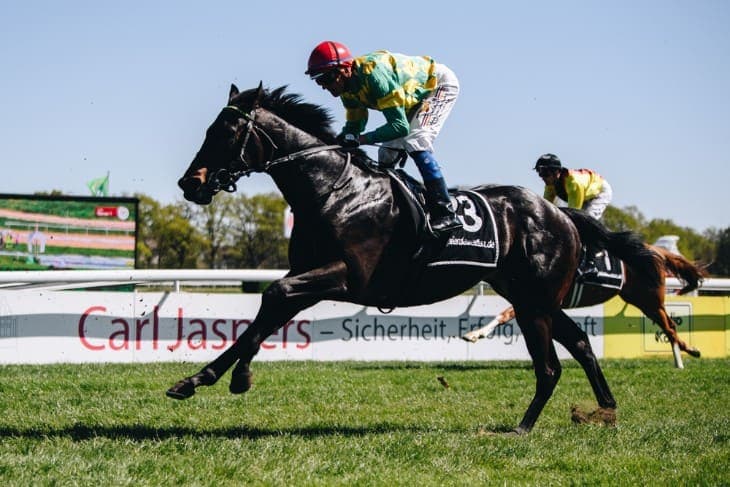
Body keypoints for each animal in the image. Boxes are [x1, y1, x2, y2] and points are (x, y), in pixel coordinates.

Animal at [169, 83, 662, 434]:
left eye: (225, 133)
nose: (190, 183)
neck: (334, 190)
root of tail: (559, 213)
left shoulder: (345, 276)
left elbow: (273, 296)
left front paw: (235, 377)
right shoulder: (310, 274)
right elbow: (267, 314)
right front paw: (198, 380)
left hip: (534, 303)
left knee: (550, 365)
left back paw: (522, 427)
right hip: (531, 297)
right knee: (579, 345)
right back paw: (604, 411)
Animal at [461, 243, 707, 367]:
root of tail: (655, 249)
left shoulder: (536, 299)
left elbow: (506, 313)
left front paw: (475, 333)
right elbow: (503, 314)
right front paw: (474, 333)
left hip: (648, 300)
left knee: (670, 326)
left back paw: (690, 351)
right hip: (642, 300)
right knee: (668, 326)